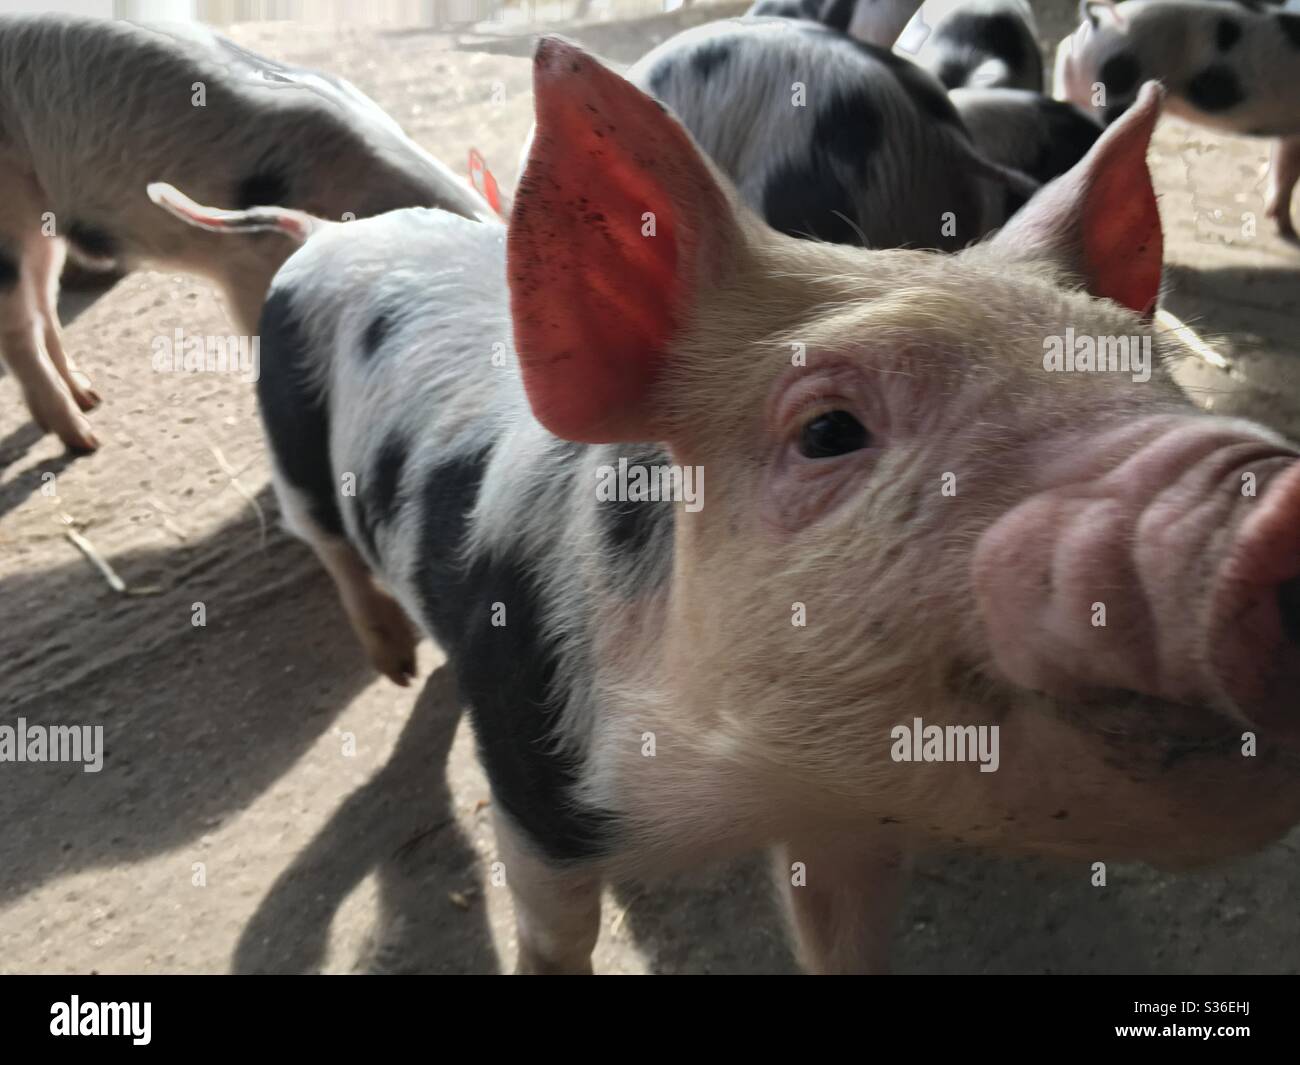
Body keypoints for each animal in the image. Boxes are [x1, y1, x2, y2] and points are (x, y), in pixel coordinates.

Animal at [0, 14, 489, 453]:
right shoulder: (250, 268)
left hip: (45, 223)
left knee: (44, 302)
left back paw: (89, 396)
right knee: (20, 328)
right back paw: (85, 440)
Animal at [158, 42, 1300, 975]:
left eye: (1150, 370)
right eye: (829, 431)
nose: (1270, 490)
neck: (732, 798)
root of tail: (323, 234)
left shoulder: (848, 826)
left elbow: (842, 940)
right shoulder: (537, 795)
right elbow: (553, 935)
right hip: (292, 446)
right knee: (331, 547)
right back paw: (391, 661)